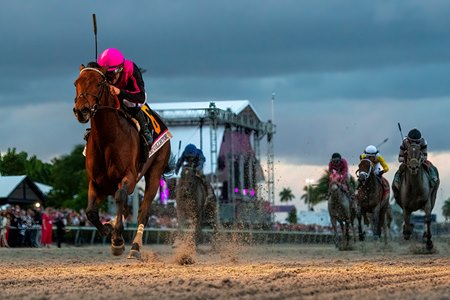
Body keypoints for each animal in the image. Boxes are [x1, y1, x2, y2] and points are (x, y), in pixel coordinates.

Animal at [73, 64, 171, 258]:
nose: (81, 110)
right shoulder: (97, 182)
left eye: (98, 83)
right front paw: (108, 230)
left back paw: (135, 247)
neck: (106, 139)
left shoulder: (129, 177)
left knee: (143, 212)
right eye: (76, 83)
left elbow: (120, 197)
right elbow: (90, 212)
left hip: (155, 172)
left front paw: (117, 239)